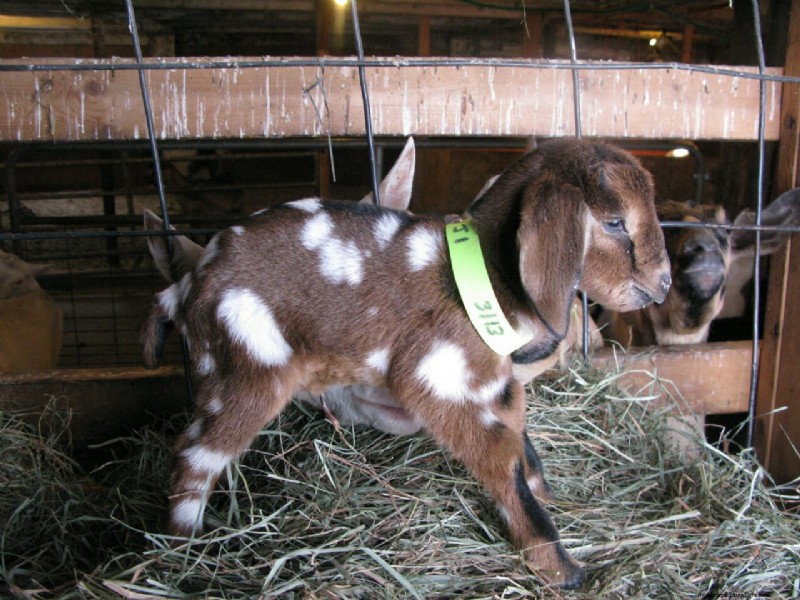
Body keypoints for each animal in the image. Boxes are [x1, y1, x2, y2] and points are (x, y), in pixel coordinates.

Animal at [141, 138, 671, 589]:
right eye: (615, 222)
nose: (663, 285)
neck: (486, 278)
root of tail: (184, 289)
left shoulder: (494, 386)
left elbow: (523, 446)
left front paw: (551, 500)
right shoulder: (440, 379)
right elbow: (502, 461)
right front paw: (562, 569)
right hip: (245, 371)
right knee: (195, 456)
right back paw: (184, 551)